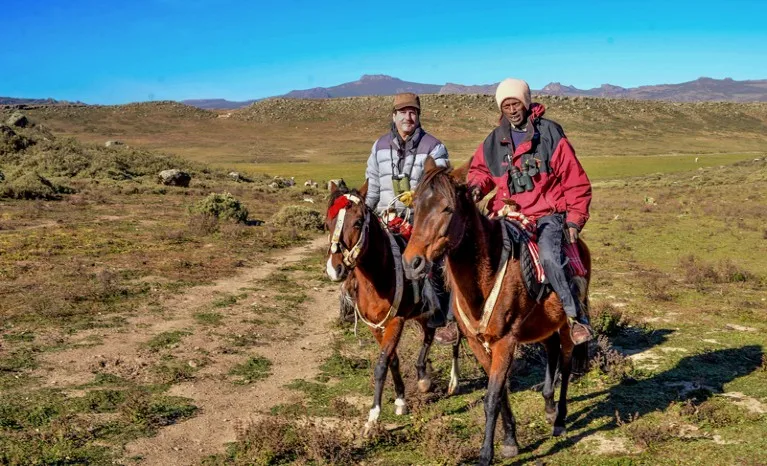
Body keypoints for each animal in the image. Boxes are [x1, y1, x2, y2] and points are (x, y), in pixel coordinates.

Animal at [326, 180, 462, 436]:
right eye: (326, 224)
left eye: (357, 222)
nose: (334, 269)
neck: (379, 276)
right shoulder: (376, 326)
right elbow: (393, 360)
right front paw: (401, 400)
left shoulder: (396, 321)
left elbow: (381, 365)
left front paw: (373, 418)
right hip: (423, 314)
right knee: (429, 335)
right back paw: (423, 377)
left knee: (457, 341)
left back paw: (454, 380)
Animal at [404, 157, 592, 466]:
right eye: (416, 206)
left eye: (447, 208)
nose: (413, 263)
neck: (485, 278)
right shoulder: (477, 342)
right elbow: (501, 391)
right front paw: (510, 440)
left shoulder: (505, 341)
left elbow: (492, 396)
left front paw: (486, 454)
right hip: (543, 325)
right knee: (551, 351)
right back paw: (549, 405)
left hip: (566, 325)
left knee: (564, 365)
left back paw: (560, 420)